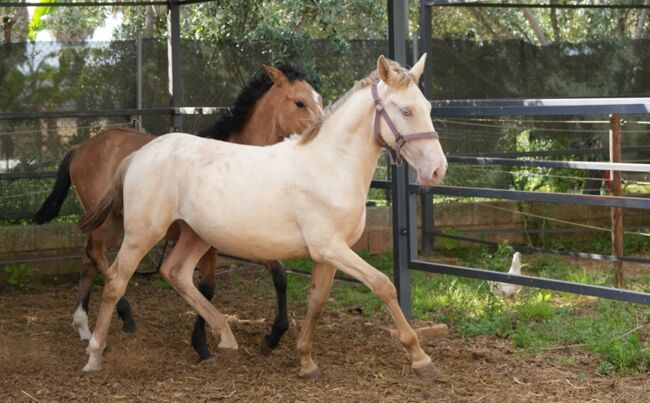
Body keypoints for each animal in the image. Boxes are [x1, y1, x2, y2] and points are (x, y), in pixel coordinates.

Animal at [33, 63, 323, 362]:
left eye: (320, 98)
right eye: (299, 102)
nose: (321, 131)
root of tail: (80, 148)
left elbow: (279, 275)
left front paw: (272, 338)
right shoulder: (212, 243)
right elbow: (208, 287)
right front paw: (203, 345)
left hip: (114, 223)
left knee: (90, 258)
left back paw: (85, 326)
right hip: (111, 225)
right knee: (98, 258)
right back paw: (120, 317)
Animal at [77, 54, 447, 378]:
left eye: (427, 108)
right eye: (405, 110)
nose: (437, 170)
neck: (328, 166)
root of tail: (141, 152)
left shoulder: (325, 255)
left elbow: (317, 302)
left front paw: (305, 361)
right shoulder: (332, 248)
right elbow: (384, 285)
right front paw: (421, 359)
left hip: (196, 235)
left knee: (176, 273)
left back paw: (225, 340)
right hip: (141, 234)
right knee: (115, 281)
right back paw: (94, 353)